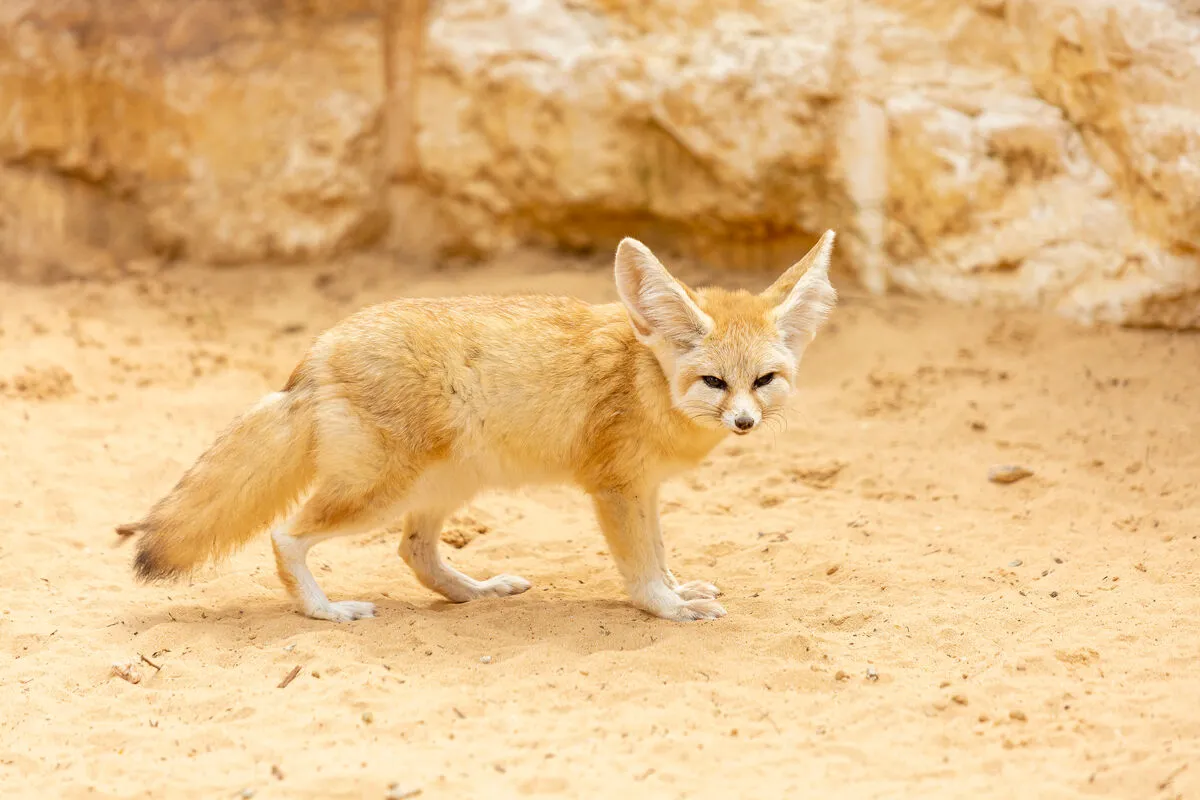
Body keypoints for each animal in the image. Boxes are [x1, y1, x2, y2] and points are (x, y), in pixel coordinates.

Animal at [119, 231, 837, 623]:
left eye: (762, 381)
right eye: (714, 382)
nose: (743, 421)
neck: (646, 378)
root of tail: (317, 351)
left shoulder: (645, 491)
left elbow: (659, 553)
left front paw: (677, 586)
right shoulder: (615, 490)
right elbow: (640, 570)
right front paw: (666, 606)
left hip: (444, 488)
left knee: (416, 555)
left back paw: (477, 592)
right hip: (378, 492)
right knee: (285, 535)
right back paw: (324, 609)